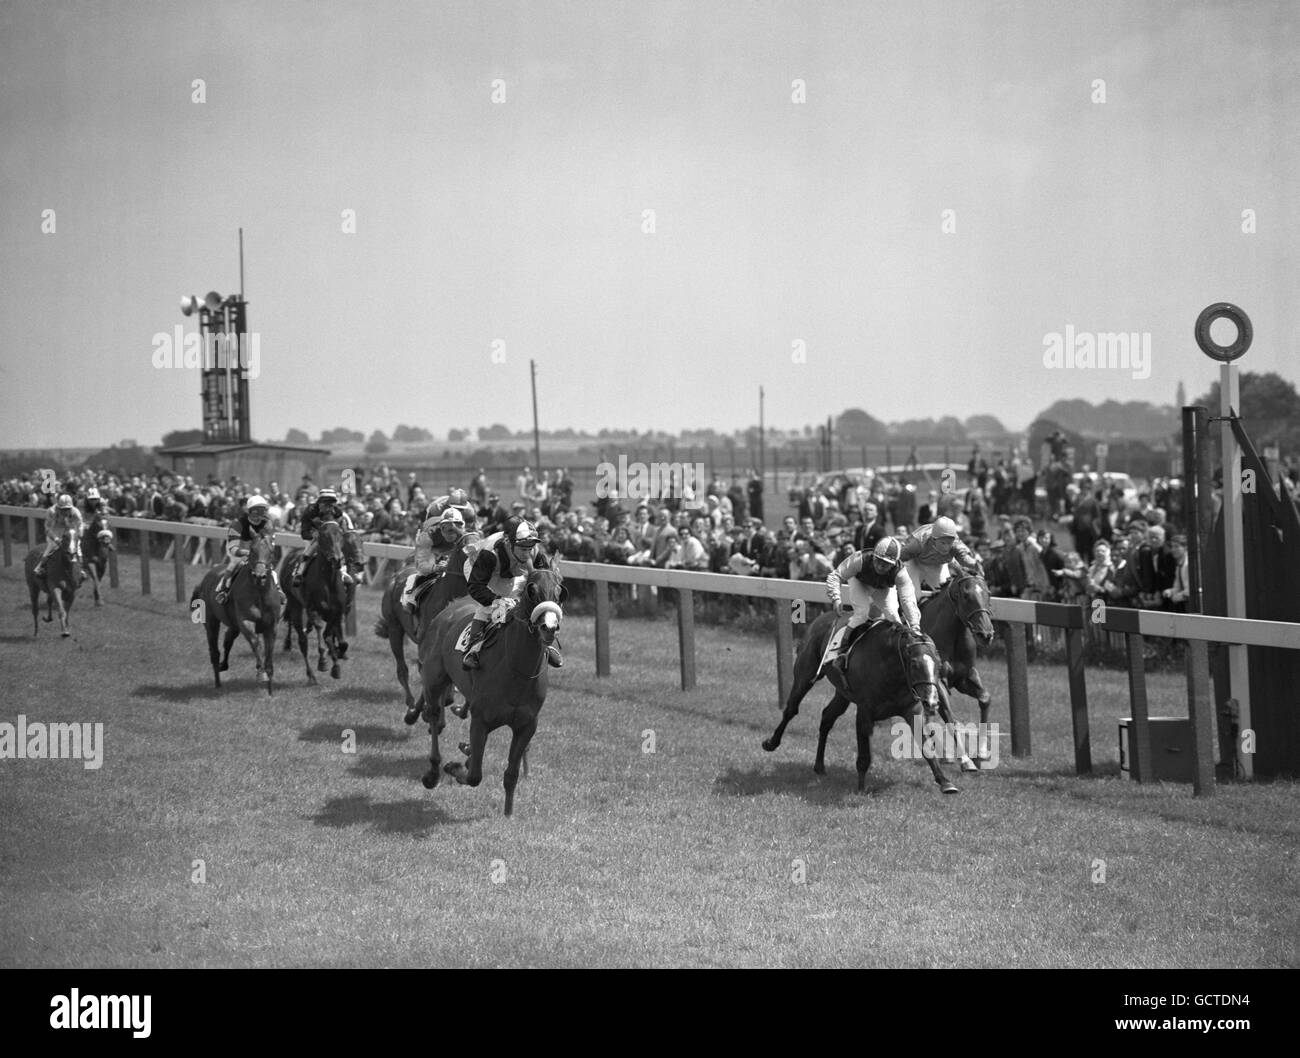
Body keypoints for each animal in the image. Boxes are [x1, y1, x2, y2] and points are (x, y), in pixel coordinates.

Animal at [191, 538, 280, 696]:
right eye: (252, 551)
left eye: (271, 551)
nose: (260, 576)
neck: (259, 594)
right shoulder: (246, 621)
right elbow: (255, 642)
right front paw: (261, 673)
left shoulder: (271, 625)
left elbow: (269, 653)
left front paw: (270, 691)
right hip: (211, 622)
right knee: (214, 651)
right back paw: (217, 683)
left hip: (233, 625)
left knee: (228, 640)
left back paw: (223, 666)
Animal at [280, 525, 351, 686]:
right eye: (323, 537)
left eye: (341, 535)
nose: (337, 559)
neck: (328, 582)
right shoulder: (312, 609)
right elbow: (320, 630)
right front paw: (323, 661)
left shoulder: (336, 613)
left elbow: (337, 640)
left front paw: (337, 664)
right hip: (294, 603)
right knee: (302, 641)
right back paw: (311, 674)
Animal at [374, 538, 480, 722]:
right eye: (466, 549)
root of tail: (398, 575)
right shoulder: (428, 645)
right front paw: (419, 712)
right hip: (395, 628)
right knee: (402, 669)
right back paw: (410, 705)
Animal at [418, 566, 566, 816]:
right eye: (531, 590)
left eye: (560, 592)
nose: (549, 627)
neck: (517, 671)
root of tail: (450, 608)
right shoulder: (481, 720)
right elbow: (474, 776)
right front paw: (455, 767)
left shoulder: (526, 725)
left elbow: (511, 774)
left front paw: (508, 814)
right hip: (434, 680)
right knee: (434, 717)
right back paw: (433, 771)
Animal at [759, 613, 977, 795]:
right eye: (915, 664)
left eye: (938, 666)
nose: (932, 701)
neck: (892, 671)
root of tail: (823, 618)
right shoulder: (865, 711)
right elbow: (864, 755)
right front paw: (861, 788)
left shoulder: (912, 710)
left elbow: (926, 747)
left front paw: (945, 782)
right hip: (805, 674)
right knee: (791, 709)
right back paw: (771, 742)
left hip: (842, 694)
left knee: (827, 717)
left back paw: (819, 766)